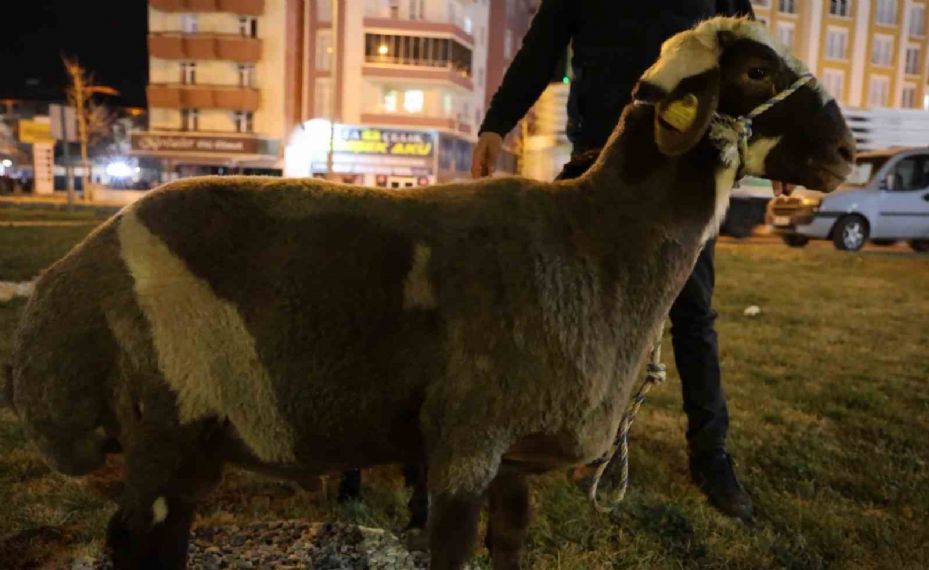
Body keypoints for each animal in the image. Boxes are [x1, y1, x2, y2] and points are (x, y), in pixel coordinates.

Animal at [7, 16, 852, 568]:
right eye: (754, 72)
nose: (846, 154)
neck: (595, 238)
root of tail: (59, 285)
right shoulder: (463, 444)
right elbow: (449, 553)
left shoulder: (513, 456)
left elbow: (508, 549)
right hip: (161, 426)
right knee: (136, 542)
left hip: (186, 443)